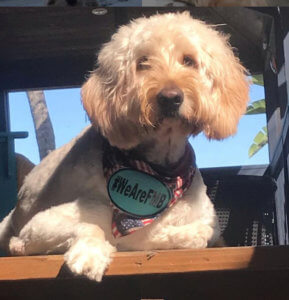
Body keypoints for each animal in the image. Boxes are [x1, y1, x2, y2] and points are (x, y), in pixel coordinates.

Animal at [0, 11, 248, 282]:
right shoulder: (41, 223)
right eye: (142, 62)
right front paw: (91, 253)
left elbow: (198, 234)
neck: (157, 170)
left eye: (188, 60)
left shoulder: (208, 223)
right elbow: (93, 226)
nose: (170, 97)